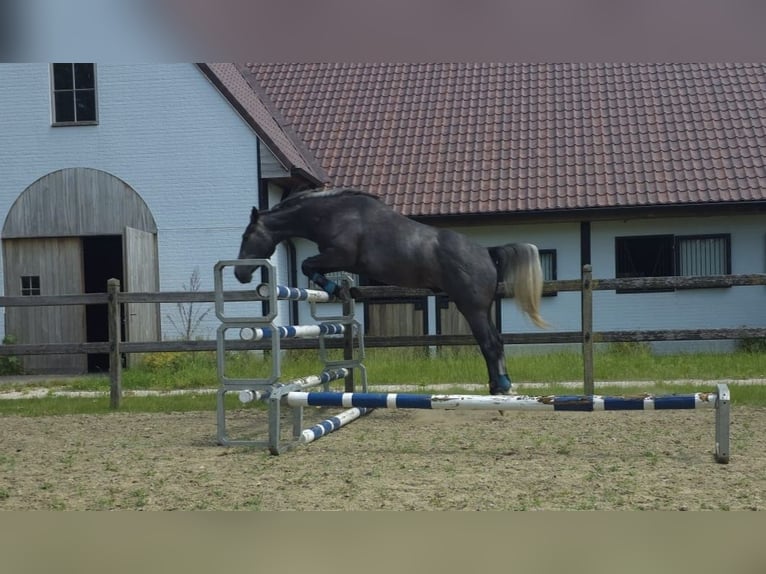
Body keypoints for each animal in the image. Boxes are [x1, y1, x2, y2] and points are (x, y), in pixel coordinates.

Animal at [234, 188, 547, 395]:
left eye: (247, 235)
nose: (240, 274)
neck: (334, 214)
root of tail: (486, 251)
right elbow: (310, 267)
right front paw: (344, 290)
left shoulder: (339, 256)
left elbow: (307, 265)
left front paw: (335, 287)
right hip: (482, 308)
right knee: (496, 342)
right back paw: (498, 384)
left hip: (472, 308)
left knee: (490, 343)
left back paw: (501, 387)